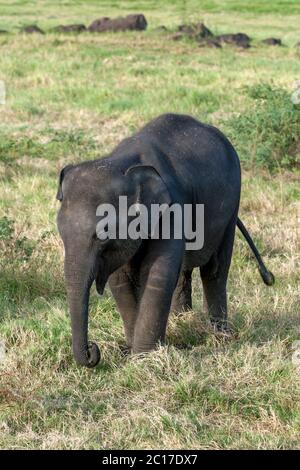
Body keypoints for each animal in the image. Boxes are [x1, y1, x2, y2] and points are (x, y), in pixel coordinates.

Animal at [56, 114, 274, 368]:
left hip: (232, 207)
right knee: (183, 272)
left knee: (215, 270)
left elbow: (157, 274)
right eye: (60, 230)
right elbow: (120, 280)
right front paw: (132, 352)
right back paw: (183, 319)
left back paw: (220, 334)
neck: (120, 163)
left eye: (105, 232)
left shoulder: (173, 209)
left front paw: (144, 359)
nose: (93, 350)